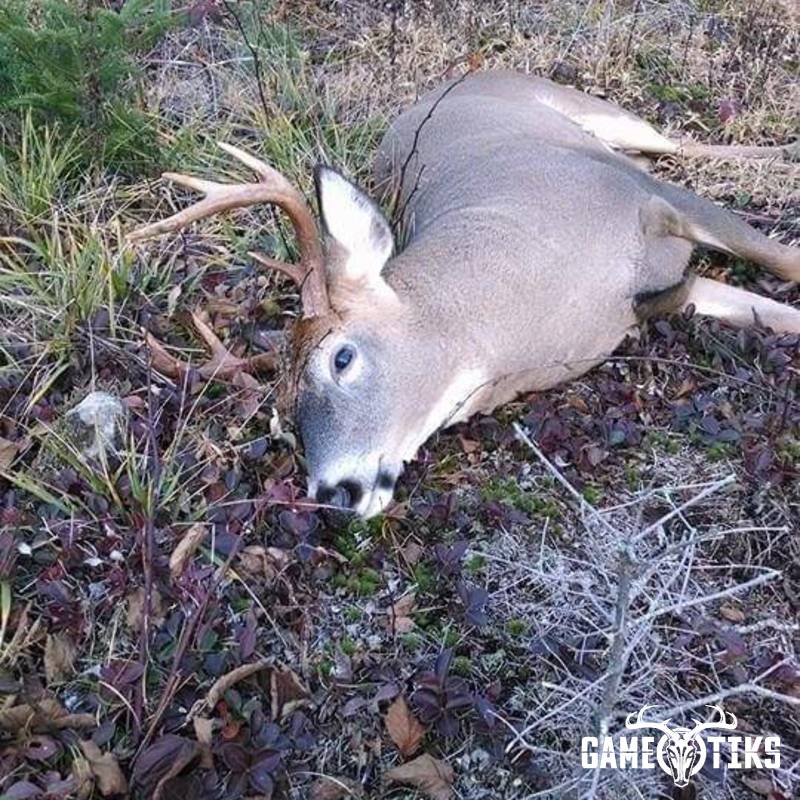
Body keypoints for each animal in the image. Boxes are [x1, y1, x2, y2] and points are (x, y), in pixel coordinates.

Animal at [128, 70, 800, 518]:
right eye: (283, 417)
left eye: (342, 357)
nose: (332, 493)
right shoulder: (666, 293)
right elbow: (778, 313)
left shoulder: (655, 200)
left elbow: (782, 260)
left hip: (600, 119)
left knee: (680, 144)